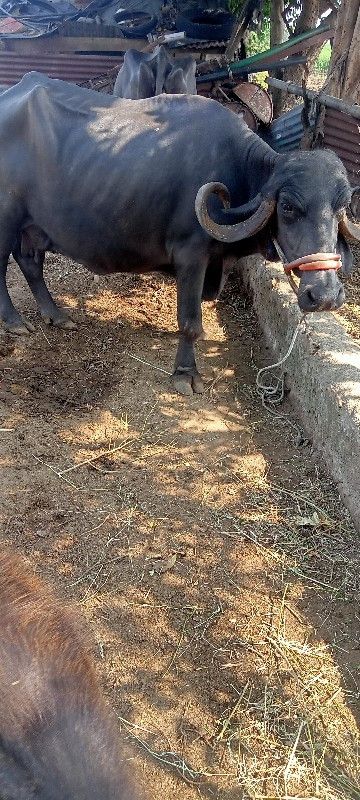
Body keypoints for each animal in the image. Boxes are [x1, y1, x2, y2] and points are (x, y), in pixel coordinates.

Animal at [1, 73, 358, 396]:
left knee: (30, 263)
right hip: (7, 219)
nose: (324, 295)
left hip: (33, 224)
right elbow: (189, 320)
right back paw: (14, 321)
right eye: (287, 206)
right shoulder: (191, 255)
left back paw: (55, 315)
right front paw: (186, 373)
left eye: (342, 206)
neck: (237, 169)